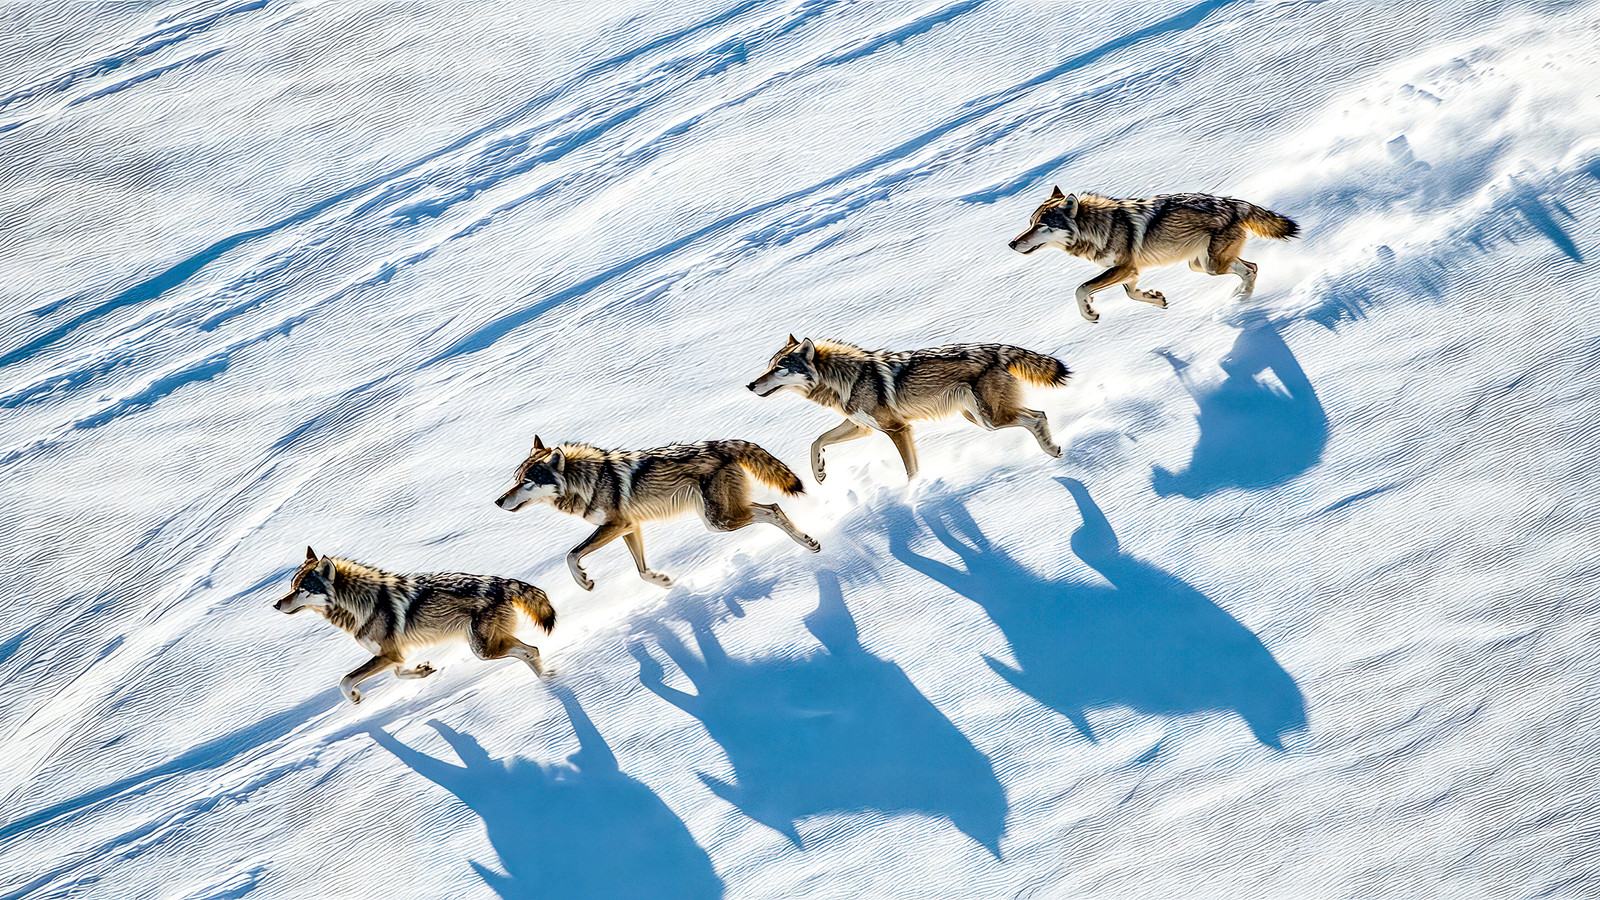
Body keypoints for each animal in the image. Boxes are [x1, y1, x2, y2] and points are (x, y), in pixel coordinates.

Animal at [274, 547, 555, 703]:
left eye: (300, 590)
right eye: (291, 586)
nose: (276, 604)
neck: (357, 603)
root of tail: (502, 583)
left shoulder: (387, 654)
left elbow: (345, 681)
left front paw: (354, 698)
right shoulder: (394, 654)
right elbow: (400, 673)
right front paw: (423, 671)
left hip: (482, 650)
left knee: (531, 650)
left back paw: (549, 681)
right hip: (487, 645)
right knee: (532, 651)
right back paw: (548, 679)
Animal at [496, 437, 820, 591]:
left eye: (525, 482)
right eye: (515, 480)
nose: (498, 501)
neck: (586, 480)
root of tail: (721, 444)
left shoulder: (617, 524)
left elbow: (571, 555)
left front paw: (584, 582)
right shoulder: (630, 527)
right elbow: (641, 571)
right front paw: (663, 581)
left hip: (720, 521)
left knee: (773, 509)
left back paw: (809, 543)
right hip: (720, 518)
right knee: (771, 509)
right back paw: (808, 542)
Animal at [746, 336, 1070, 482]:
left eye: (778, 368)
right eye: (767, 367)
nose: (750, 385)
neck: (845, 380)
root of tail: (995, 348)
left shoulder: (897, 429)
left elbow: (911, 470)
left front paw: (913, 494)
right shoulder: (862, 427)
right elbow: (816, 441)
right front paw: (819, 471)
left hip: (989, 418)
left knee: (1038, 416)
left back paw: (1053, 451)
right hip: (978, 418)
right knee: (1035, 416)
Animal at [1009, 187, 1299, 322]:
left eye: (1040, 226)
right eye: (1029, 223)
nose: (1011, 244)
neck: (1096, 228)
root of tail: (1233, 203)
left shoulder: (1124, 267)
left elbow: (1081, 289)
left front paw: (1089, 313)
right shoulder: (1131, 272)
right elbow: (1131, 294)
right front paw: (1156, 299)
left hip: (1211, 265)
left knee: (1250, 270)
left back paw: (1241, 303)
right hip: (1200, 265)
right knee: (1252, 267)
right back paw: (1237, 298)